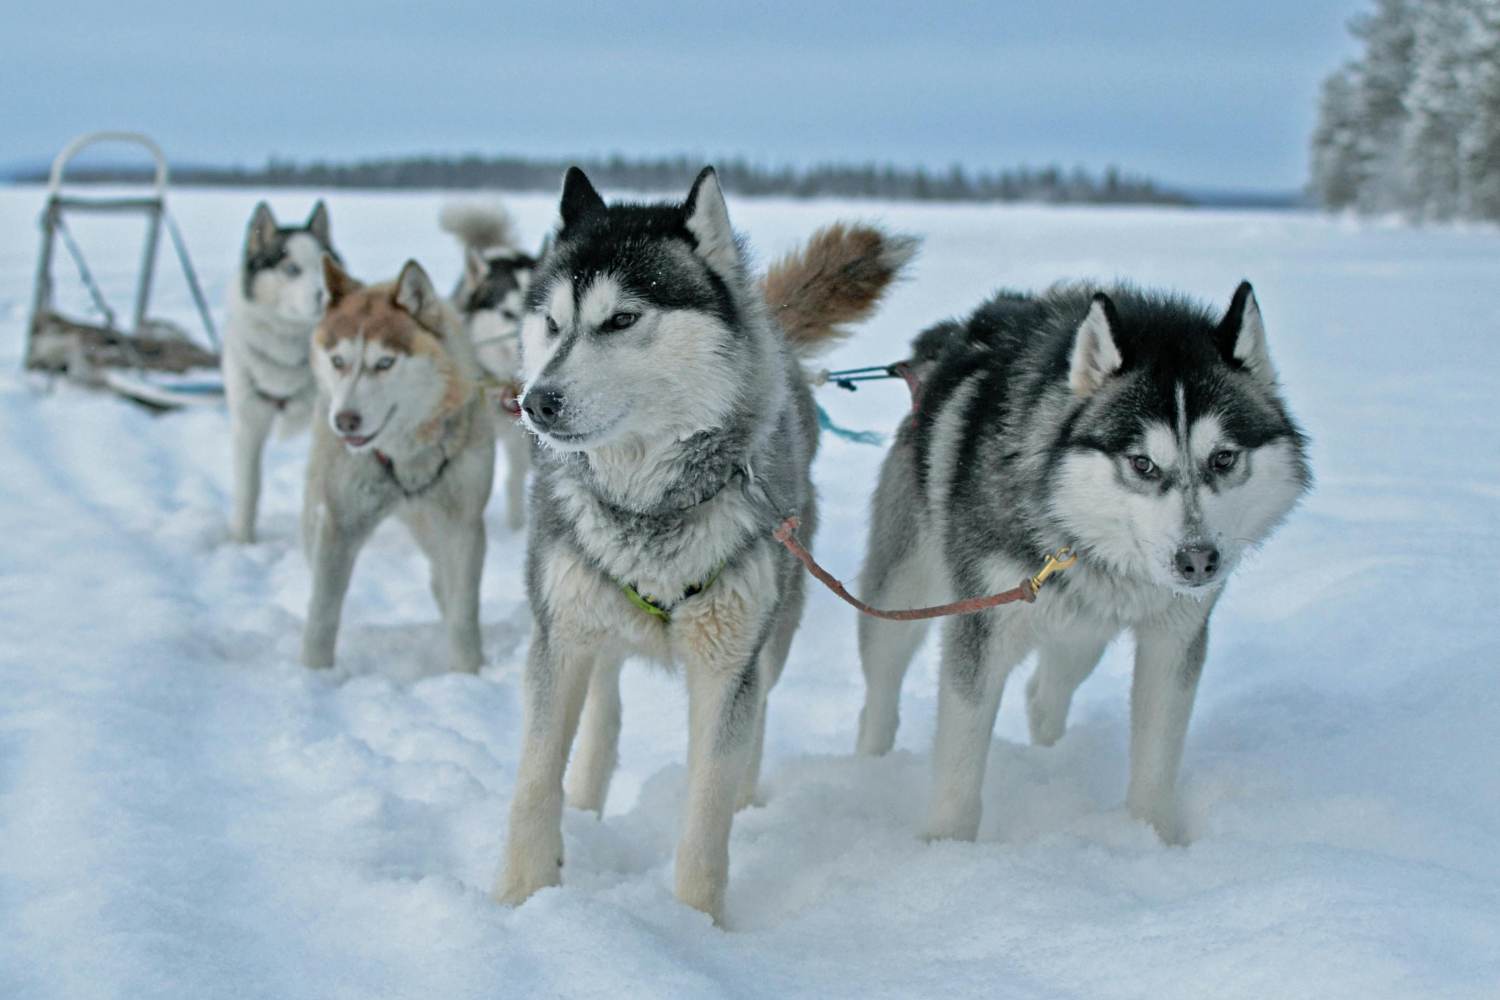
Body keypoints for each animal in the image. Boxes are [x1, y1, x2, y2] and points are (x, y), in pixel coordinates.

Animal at [222, 200, 340, 542]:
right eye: (291, 269)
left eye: (325, 267)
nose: (326, 295)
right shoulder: (248, 422)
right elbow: (248, 490)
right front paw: (242, 542)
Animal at [300, 256, 498, 671]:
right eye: (338, 361)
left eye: (384, 363)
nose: (345, 420)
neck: (406, 453)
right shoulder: (340, 525)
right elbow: (323, 612)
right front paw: (313, 672)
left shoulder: (463, 525)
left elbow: (463, 612)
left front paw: (468, 672)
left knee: (442, 580)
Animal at [498, 166, 912, 923]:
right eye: (552, 323)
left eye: (622, 320)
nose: (534, 402)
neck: (649, 506)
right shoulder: (559, 638)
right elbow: (534, 784)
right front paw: (518, 898)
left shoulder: (727, 665)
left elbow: (706, 815)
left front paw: (695, 925)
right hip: (591, 621)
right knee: (603, 711)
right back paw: (588, 804)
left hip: (773, 629)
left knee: (756, 719)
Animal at [864, 281, 1308, 845]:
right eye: (1142, 463)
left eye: (1223, 458)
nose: (1198, 562)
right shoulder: (981, 629)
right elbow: (960, 763)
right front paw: (946, 848)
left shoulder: (1174, 638)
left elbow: (1157, 756)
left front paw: (1153, 839)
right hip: (901, 598)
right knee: (881, 690)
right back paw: (870, 763)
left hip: (1083, 634)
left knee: (1045, 694)